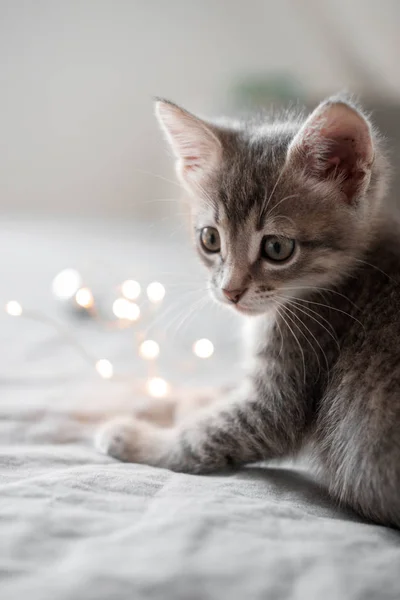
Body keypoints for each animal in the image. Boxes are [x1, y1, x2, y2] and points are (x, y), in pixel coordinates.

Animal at [96, 94, 400, 524]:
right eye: (210, 239)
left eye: (277, 247)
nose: (230, 291)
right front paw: (194, 398)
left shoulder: (285, 387)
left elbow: (206, 436)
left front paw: (135, 436)